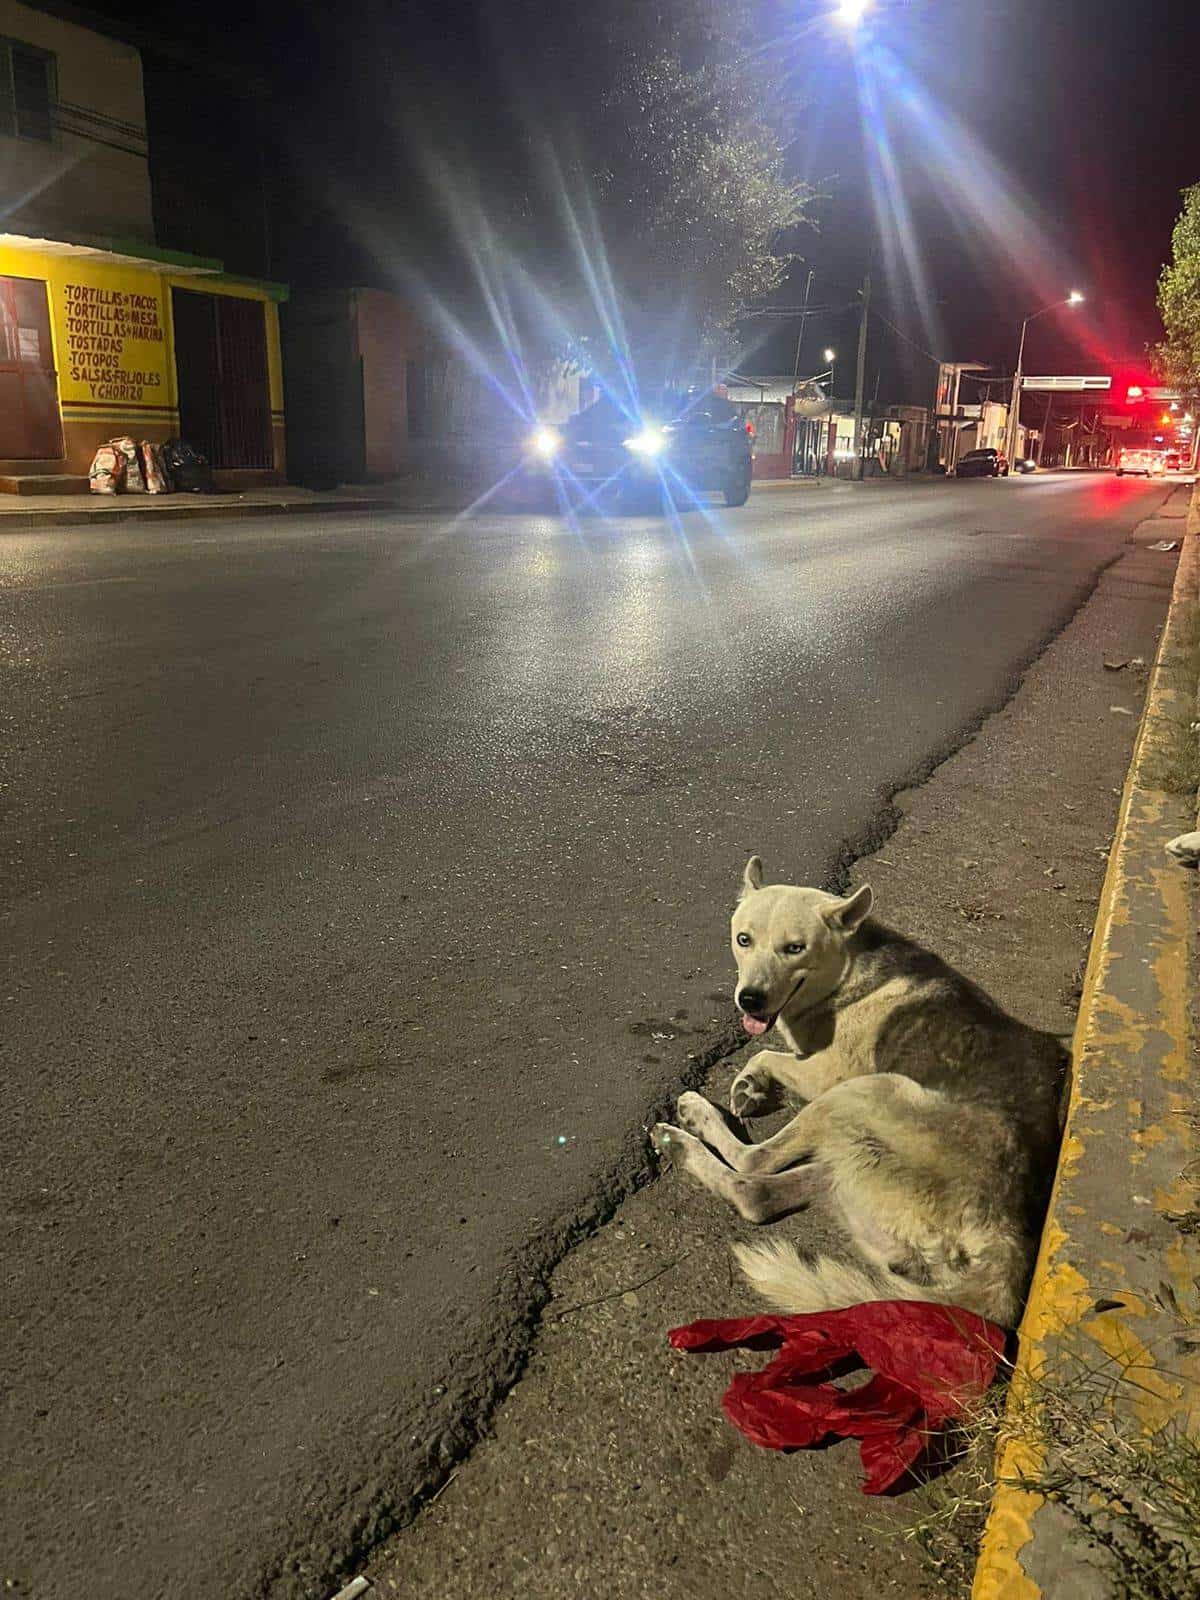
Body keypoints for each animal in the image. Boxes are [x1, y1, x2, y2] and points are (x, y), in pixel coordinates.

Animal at [652, 857, 1075, 1331]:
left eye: (794, 948)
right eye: (744, 940)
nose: (751, 1000)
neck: (849, 972)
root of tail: (1005, 1237)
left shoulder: (824, 1074)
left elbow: (764, 1053)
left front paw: (749, 1081)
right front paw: (750, 1088)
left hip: (863, 1091)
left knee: (754, 1160)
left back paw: (690, 1123)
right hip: (848, 1163)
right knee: (756, 1195)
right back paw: (682, 1146)